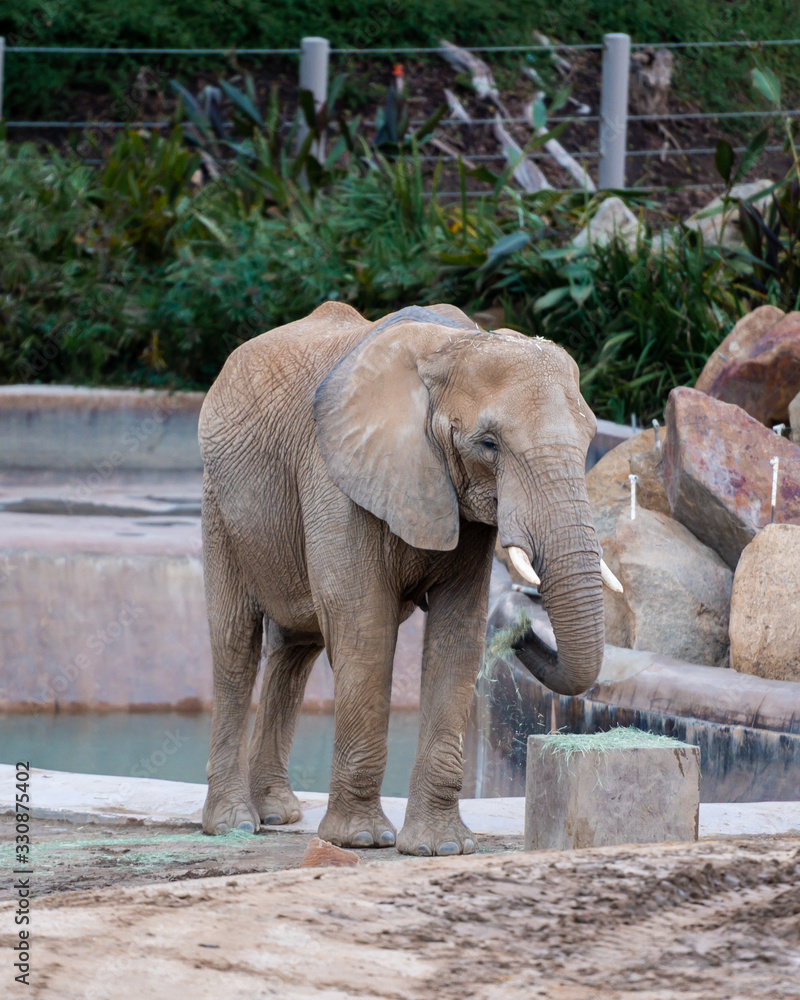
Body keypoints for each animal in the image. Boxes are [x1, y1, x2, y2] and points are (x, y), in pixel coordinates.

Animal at [199, 301, 621, 855]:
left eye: (591, 438)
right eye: (489, 444)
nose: (523, 628)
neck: (452, 347)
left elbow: (457, 635)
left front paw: (442, 848)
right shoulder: (337, 478)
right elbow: (363, 628)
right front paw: (361, 839)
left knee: (295, 648)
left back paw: (277, 813)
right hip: (219, 503)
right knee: (235, 644)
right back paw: (234, 824)